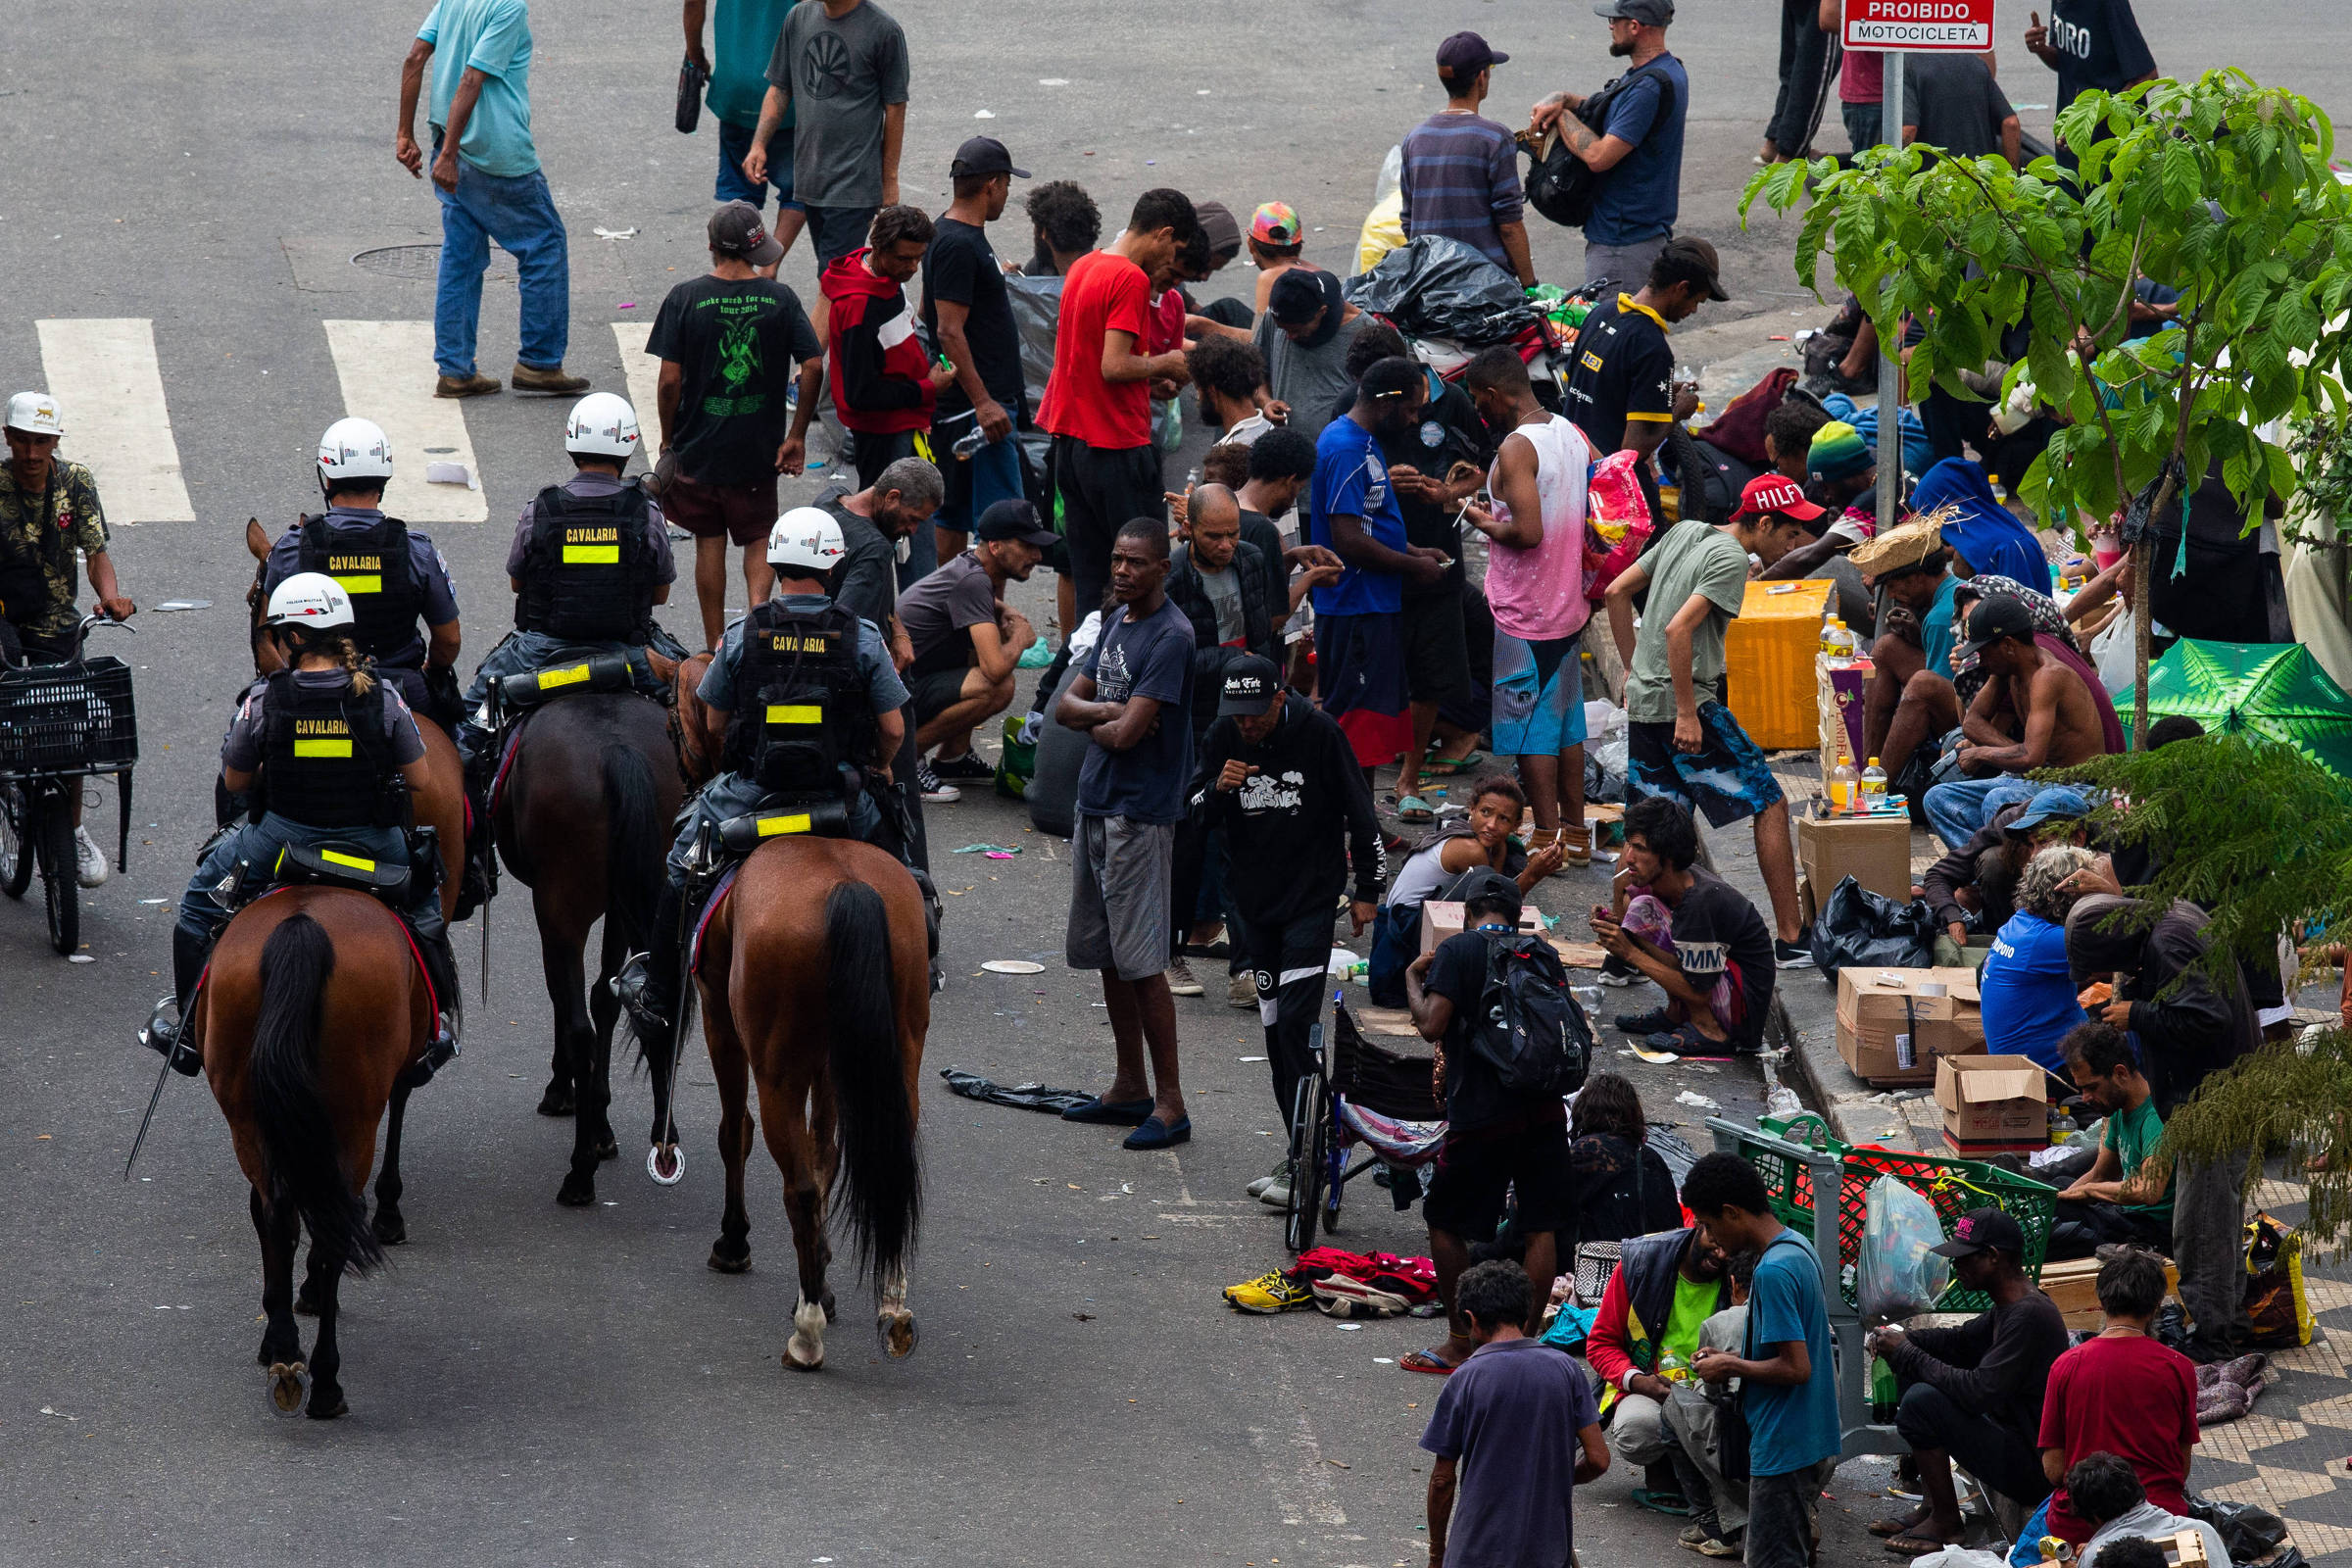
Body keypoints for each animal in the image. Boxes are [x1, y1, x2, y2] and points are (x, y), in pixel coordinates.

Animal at [198, 888, 442, 1419]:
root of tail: (303, 926)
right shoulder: (402, 1067)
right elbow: (401, 1100)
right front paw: (388, 1214)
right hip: (353, 1117)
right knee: (331, 1227)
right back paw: (326, 1380)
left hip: (248, 1117)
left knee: (276, 1215)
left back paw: (284, 1351)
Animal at [494, 691, 686, 1212]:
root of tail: (617, 750)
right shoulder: (620, 908)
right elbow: (606, 996)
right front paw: (601, 1124)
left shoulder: (551, 912)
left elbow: (564, 999)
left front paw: (564, 1093)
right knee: (646, 1002)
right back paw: (660, 1134)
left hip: (561, 908)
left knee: (579, 1025)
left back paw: (579, 1174)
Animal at [691, 841, 921, 1363]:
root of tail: (846, 885)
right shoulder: (832, 1066)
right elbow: (826, 1157)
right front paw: (822, 1278)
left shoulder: (719, 1019)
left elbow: (735, 1131)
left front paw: (734, 1241)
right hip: (897, 1059)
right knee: (889, 1168)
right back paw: (892, 1305)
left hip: (778, 1075)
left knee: (798, 1189)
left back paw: (807, 1334)